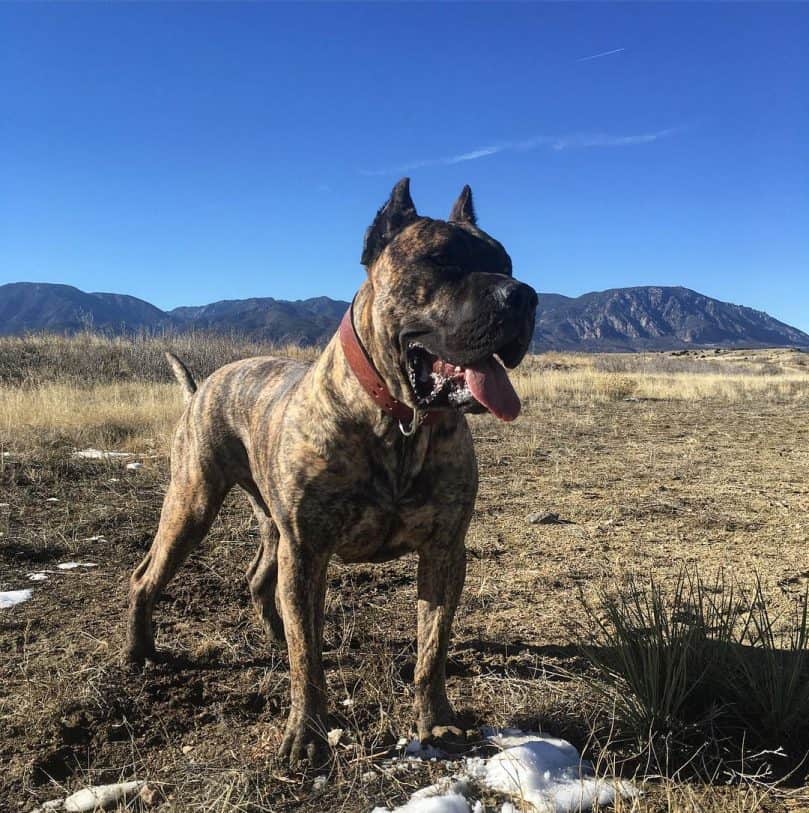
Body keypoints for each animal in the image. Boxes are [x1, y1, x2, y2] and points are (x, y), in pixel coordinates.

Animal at [126, 179, 536, 768]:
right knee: (148, 577)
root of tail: (205, 383)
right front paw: (307, 737)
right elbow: (310, 664)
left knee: (260, 581)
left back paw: (276, 634)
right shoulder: (308, 550)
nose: (523, 296)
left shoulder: (445, 551)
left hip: (270, 524)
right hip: (193, 504)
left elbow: (431, 649)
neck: (399, 420)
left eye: (506, 263)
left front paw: (437, 723)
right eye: (440, 261)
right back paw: (139, 652)